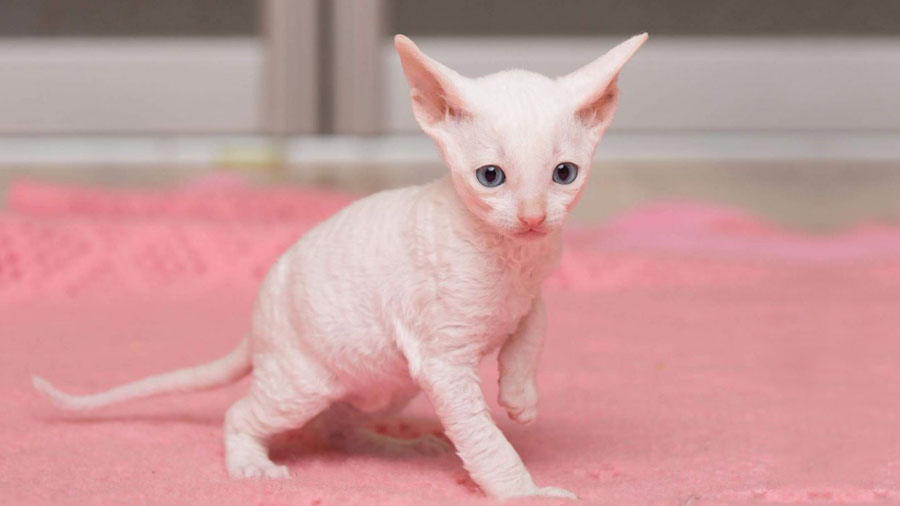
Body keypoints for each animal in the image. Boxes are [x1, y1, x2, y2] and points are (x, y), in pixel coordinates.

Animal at [29, 34, 648, 498]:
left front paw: (521, 397)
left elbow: (533, 326)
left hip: (385, 376)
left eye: (564, 174)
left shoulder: (533, 286)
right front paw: (526, 491)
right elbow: (483, 437)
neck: (512, 256)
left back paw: (397, 443)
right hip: (303, 380)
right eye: (490, 177)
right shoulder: (444, 361)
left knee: (336, 428)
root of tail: (257, 323)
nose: (532, 216)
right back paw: (251, 465)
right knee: (244, 413)